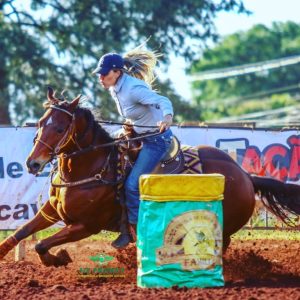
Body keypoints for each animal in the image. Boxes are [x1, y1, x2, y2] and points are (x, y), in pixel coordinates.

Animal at [0, 88, 298, 266]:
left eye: (61, 128)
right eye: (41, 123)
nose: (32, 163)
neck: (94, 166)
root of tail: (246, 176)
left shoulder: (86, 225)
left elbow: (42, 244)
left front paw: (58, 258)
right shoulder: (52, 211)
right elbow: (21, 232)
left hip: (218, 225)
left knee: (217, 248)